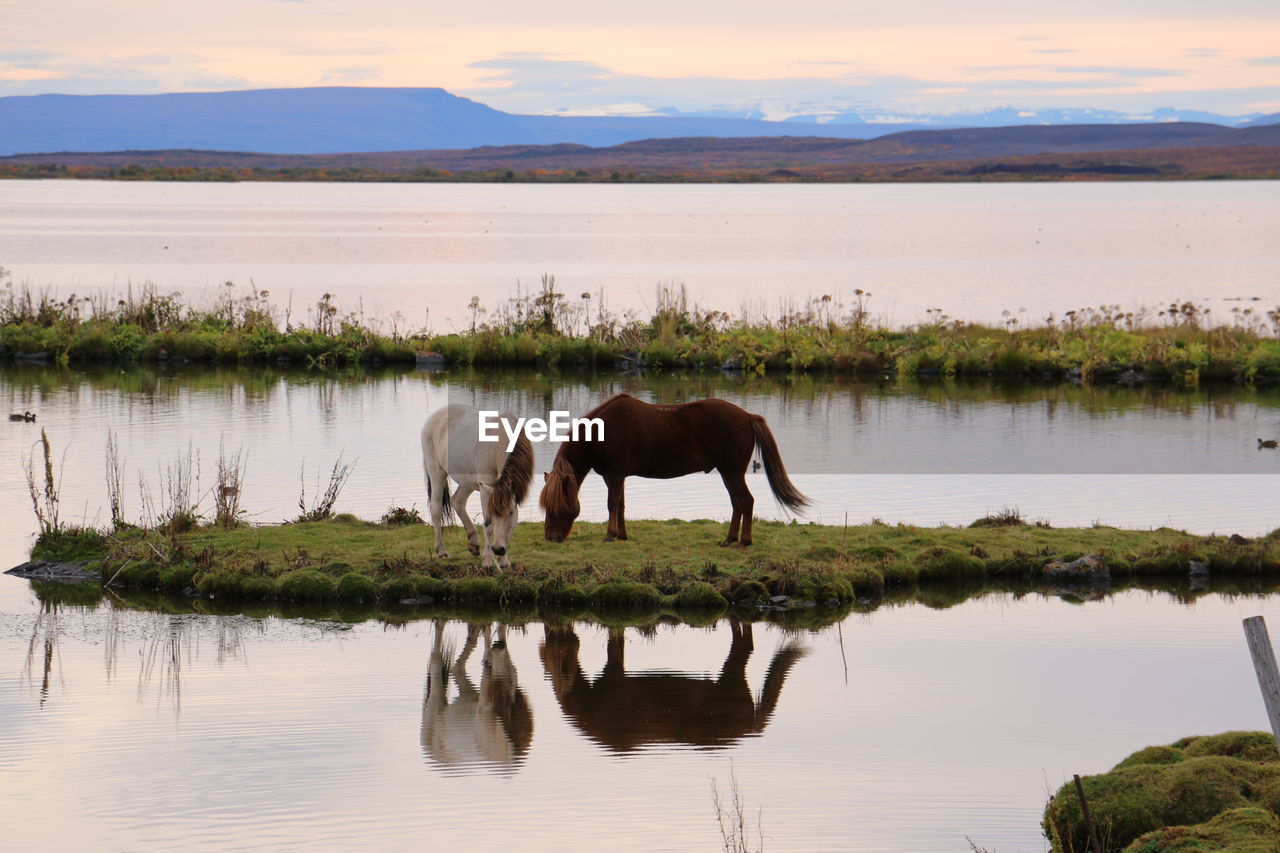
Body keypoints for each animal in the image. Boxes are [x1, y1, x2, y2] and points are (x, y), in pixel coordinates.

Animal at [422, 402, 532, 568]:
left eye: (511, 513)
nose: (498, 549)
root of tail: (435, 416)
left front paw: (504, 561)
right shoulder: (486, 489)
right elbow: (488, 526)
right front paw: (487, 561)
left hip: (467, 481)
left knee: (457, 501)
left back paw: (473, 543)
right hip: (436, 471)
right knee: (436, 508)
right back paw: (442, 551)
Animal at [537, 394, 798, 545]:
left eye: (557, 506)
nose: (550, 537)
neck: (599, 433)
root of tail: (747, 416)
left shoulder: (614, 476)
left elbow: (612, 504)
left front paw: (610, 535)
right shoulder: (620, 477)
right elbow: (621, 506)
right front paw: (622, 535)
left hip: (731, 472)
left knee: (746, 501)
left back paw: (744, 541)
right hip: (728, 473)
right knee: (737, 503)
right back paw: (730, 539)